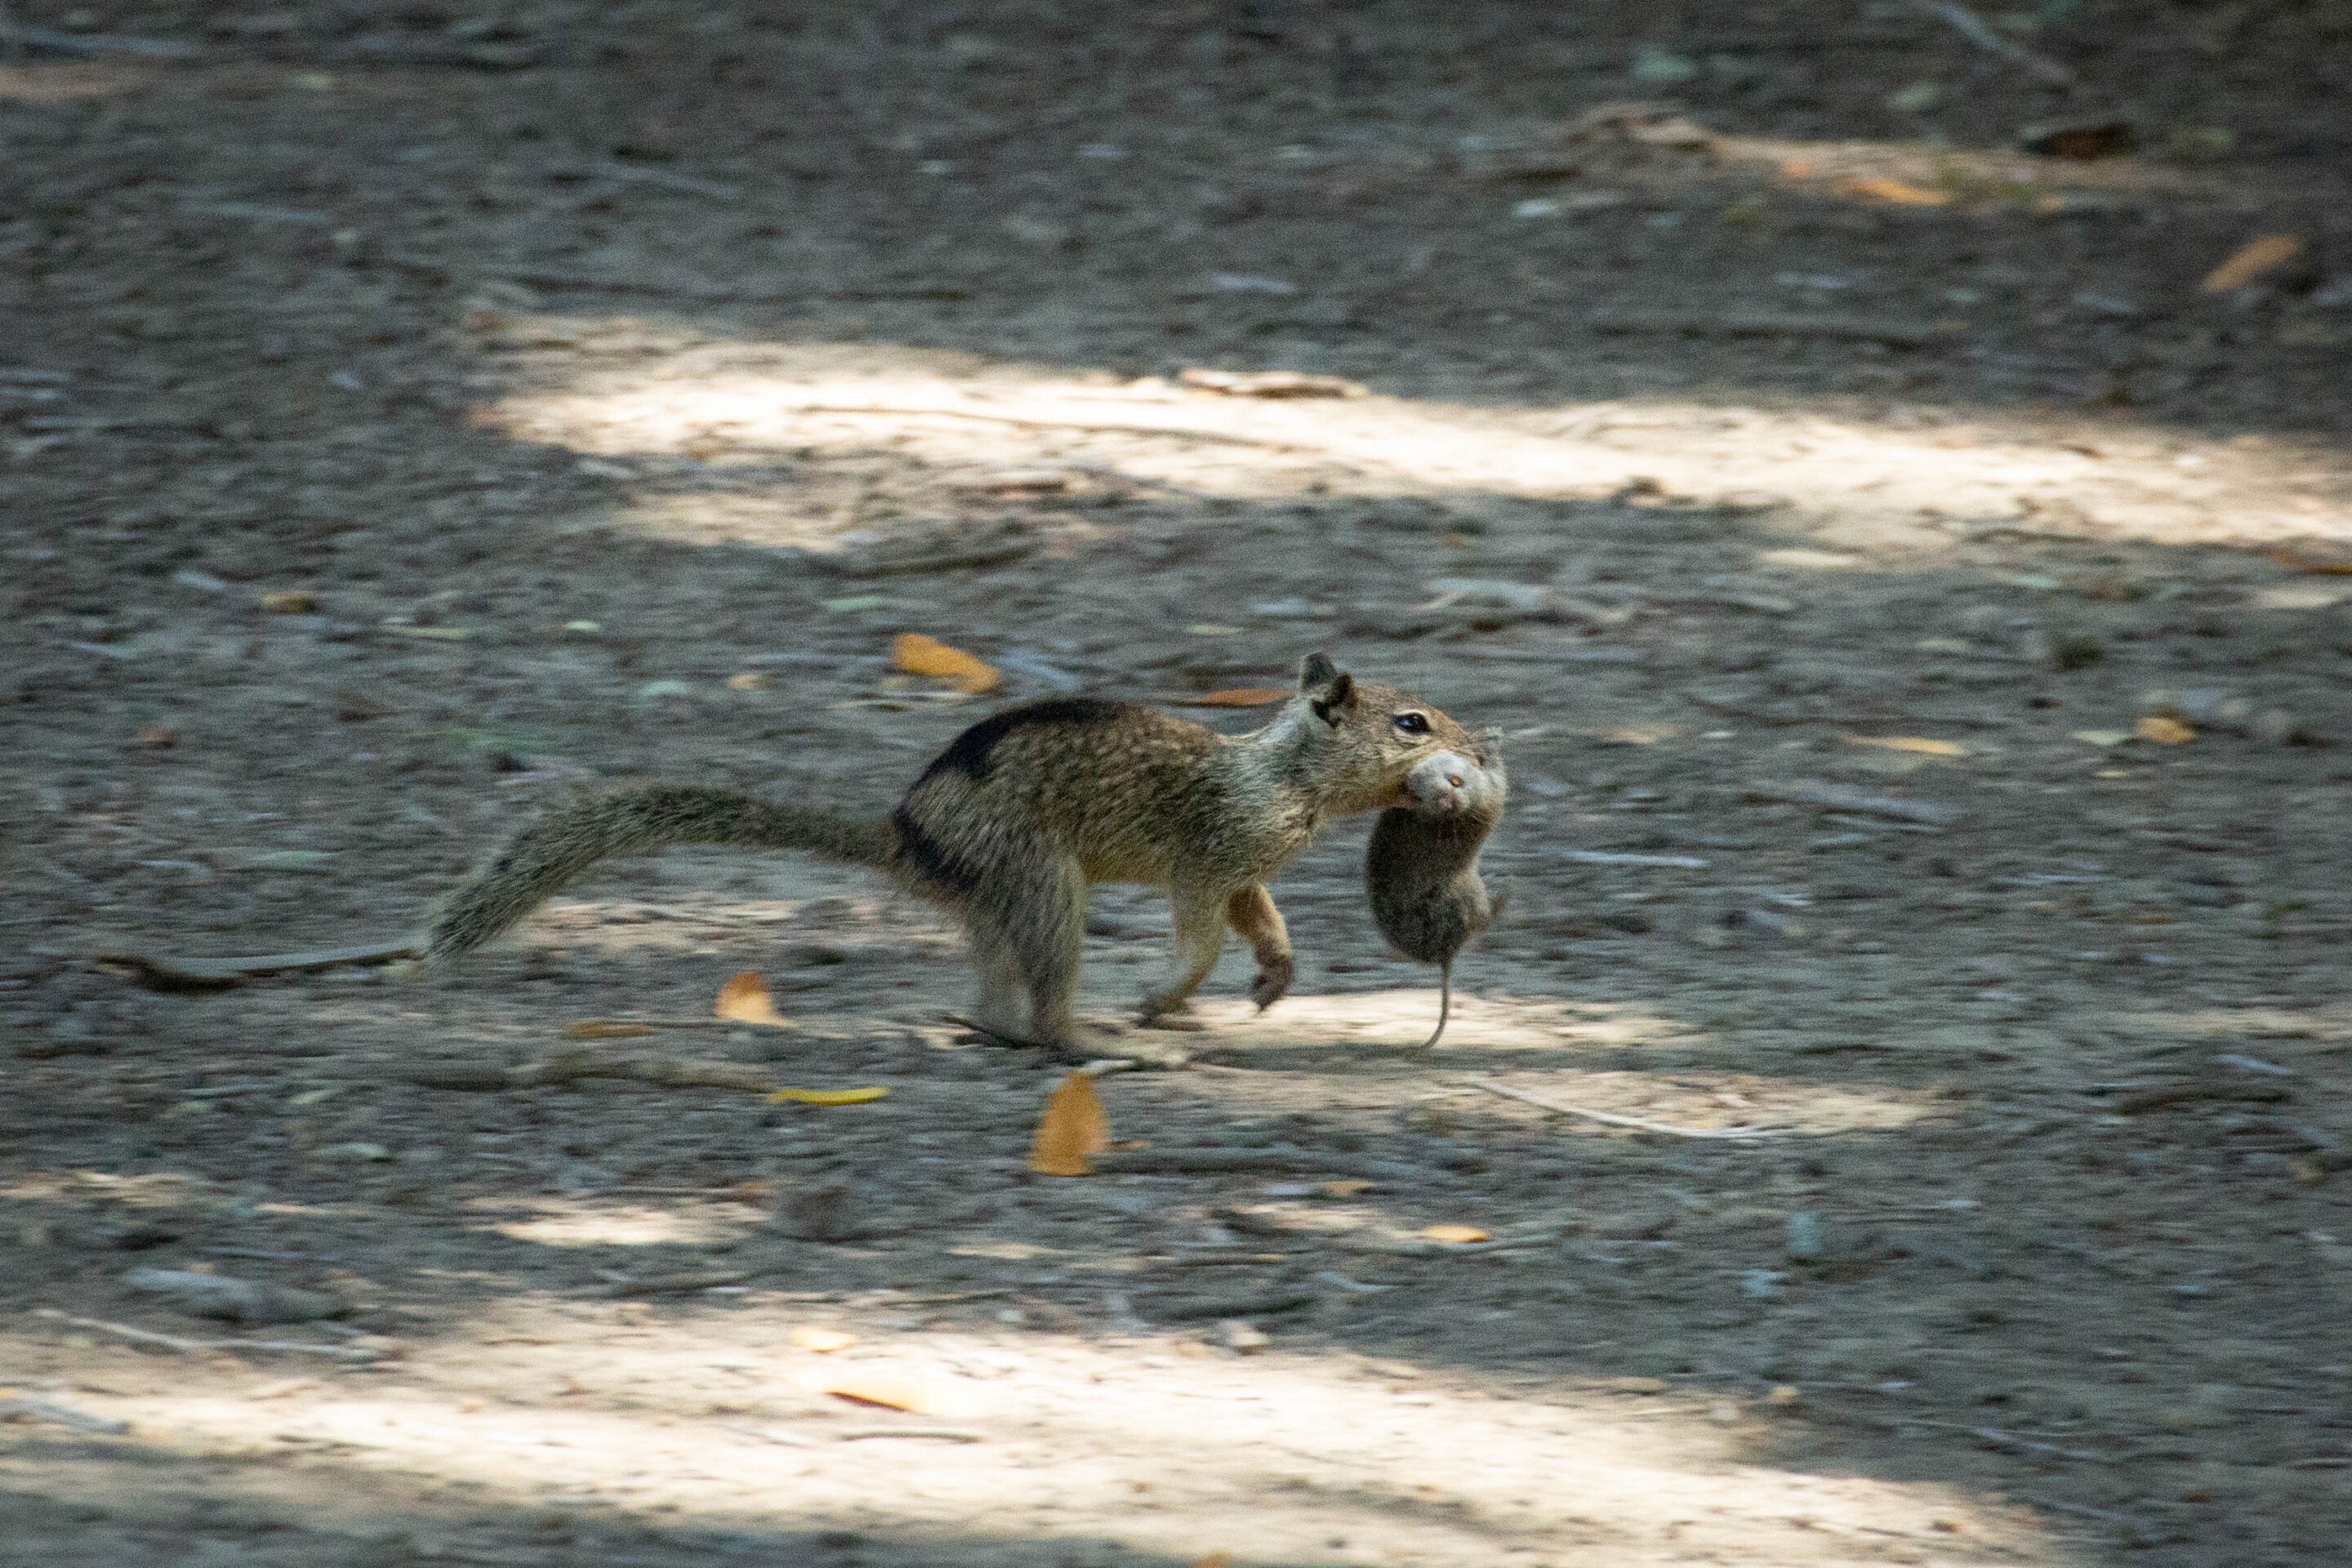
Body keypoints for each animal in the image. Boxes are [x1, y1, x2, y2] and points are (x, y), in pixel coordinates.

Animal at [423, 644, 1468, 1062]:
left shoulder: (1246, 868)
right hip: (1043, 884)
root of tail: (903, 835)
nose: (1478, 748)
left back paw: (993, 1026)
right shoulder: (1210, 856)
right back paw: (1096, 1039)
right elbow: (1204, 934)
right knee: (1044, 1008)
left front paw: (1273, 979)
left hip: (1003, 900)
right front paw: (1166, 995)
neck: (1283, 773)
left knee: (995, 997)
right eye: (1412, 723)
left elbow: (1264, 921)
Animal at [1364, 728, 1505, 1048]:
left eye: (1455, 780)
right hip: (1470, 898)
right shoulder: (1490, 797)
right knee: (1483, 921)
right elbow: (1498, 779)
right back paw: (1504, 892)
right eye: (1418, 796)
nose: (1448, 801)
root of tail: (1445, 955)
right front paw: (1489, 741)